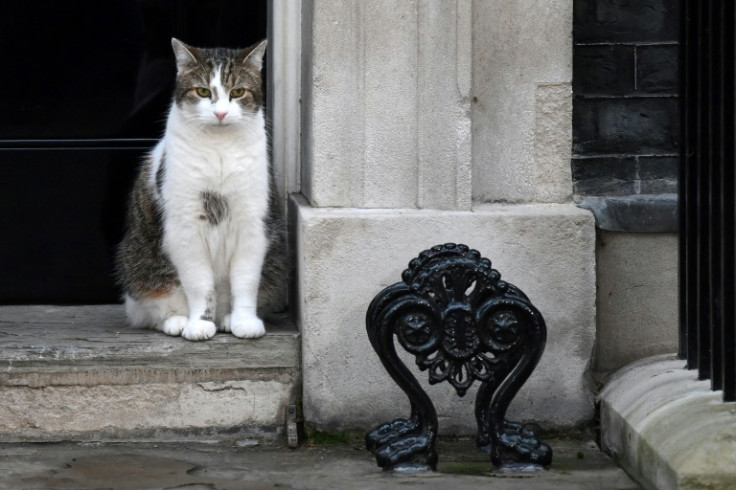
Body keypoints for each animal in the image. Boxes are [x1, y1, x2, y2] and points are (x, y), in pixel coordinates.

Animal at [115, 38, 284, 340]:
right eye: (203, 91)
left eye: (237, 92)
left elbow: (246, 281)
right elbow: (199, 285)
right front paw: (199, 324)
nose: (220, 112)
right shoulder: (187, 229)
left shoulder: (251, 226)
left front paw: (244, 322)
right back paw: (178, 321)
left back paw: (226, 319)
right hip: (138, 264)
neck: (219, 149)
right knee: (150, 310)